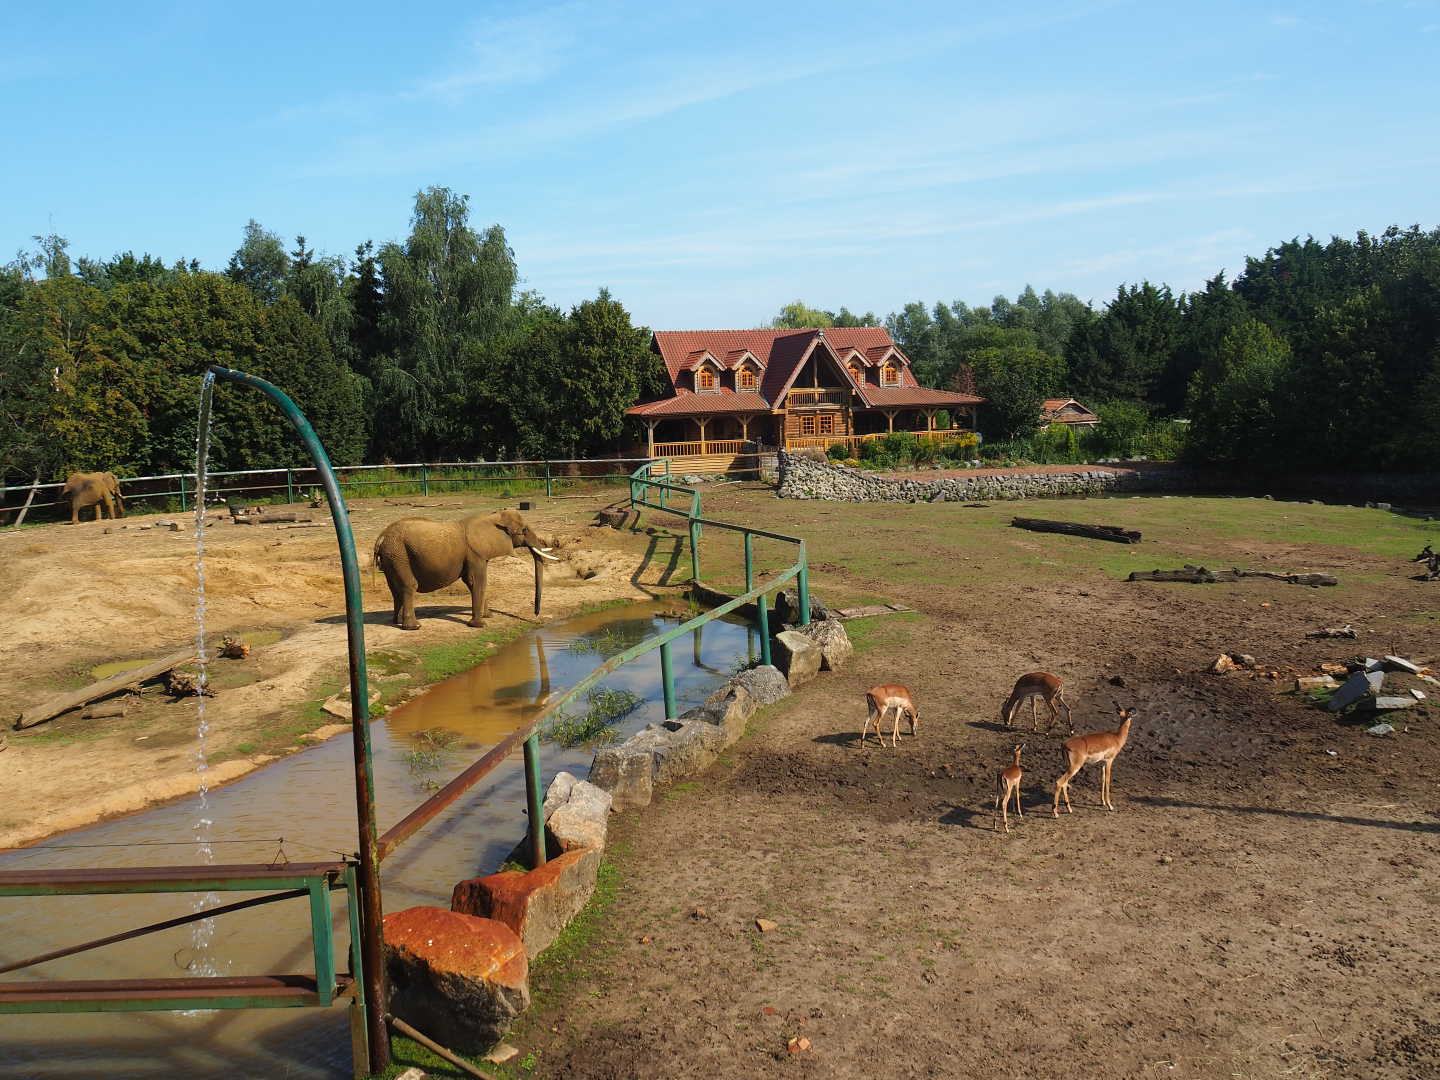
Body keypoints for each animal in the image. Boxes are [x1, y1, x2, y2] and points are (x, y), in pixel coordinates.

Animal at [373, 509, 560, 630]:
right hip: (399, 555)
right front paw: (480, 625)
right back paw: (414, 626)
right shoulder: (473, 553)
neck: (492, 517)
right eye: (524, 530)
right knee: (409, 586)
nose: (535, 615)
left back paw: (397, 622)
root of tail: (380, 538)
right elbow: (476, 581)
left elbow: (479, 583)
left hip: (392, 558)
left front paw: (487, 616)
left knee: (395, 589)